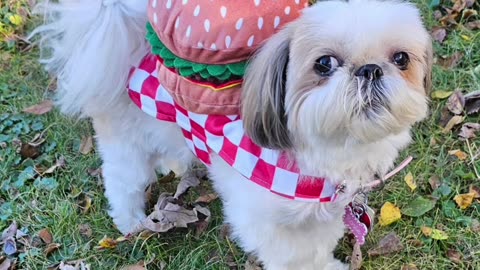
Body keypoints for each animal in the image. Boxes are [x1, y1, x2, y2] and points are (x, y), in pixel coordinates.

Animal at [31, 0, 434, 268]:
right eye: (324, 64)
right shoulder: (265, 223)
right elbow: (295, 256)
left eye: (401, 59)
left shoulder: (323, 212)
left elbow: (319, 245)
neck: (324, 153)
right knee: (122, 183)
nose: (370, 69)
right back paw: (131, 221)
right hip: (127, 146)